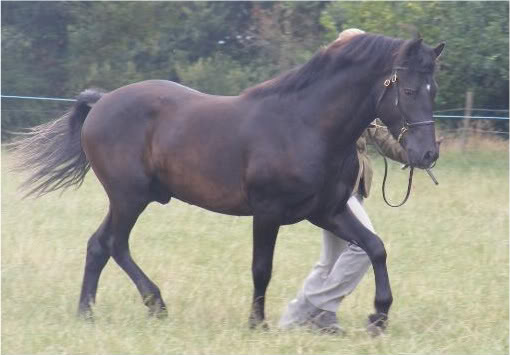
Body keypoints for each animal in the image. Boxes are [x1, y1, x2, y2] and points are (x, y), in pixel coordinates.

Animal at [9, 34, 444, 334]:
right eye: (408, 90)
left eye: (433, 90)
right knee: (113, 244)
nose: (426, 155)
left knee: (99, 245)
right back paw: (153, 304)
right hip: (129, 197)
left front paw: (379, 316)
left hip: (131, 198)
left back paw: (89, 312)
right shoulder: (267, 213)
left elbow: (376, 248)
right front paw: (257, 323)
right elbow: (262, 268)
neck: (305, 124)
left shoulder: (327, 212)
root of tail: (100, 103)